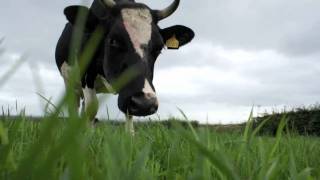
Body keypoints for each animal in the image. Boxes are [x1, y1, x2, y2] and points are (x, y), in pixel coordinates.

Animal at [54, 0, 194, 134]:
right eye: (114, 41)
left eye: (158, 48)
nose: (144, 104)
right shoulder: (86, 75)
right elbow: (92, 108)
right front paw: (87, 138)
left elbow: (128, 114)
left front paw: (129, 137)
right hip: (70, 83)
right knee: (75, 106)